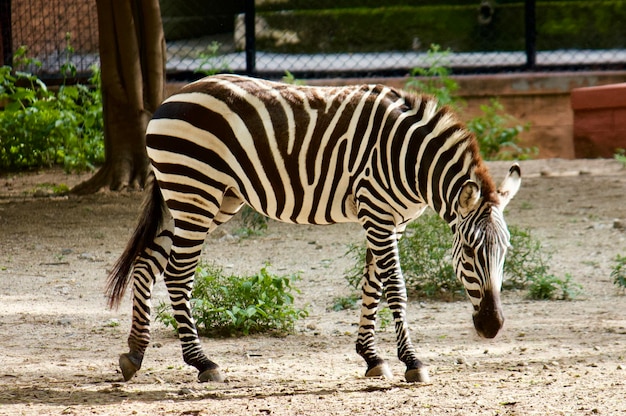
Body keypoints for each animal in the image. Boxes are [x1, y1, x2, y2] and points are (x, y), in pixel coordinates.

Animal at [106, 74, 516, 384]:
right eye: (469, 252)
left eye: (504, 253)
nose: (493, 326)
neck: (411, 160)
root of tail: (168, 100)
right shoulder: (378, 213)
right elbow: (396, 289)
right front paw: (412, 362)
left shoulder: (390, 221)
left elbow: (372, 285)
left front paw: (371, 357)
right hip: (195, 194)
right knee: (177, 273)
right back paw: (202, 362)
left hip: (208, 199)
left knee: (147, 264)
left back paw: (134, 354)